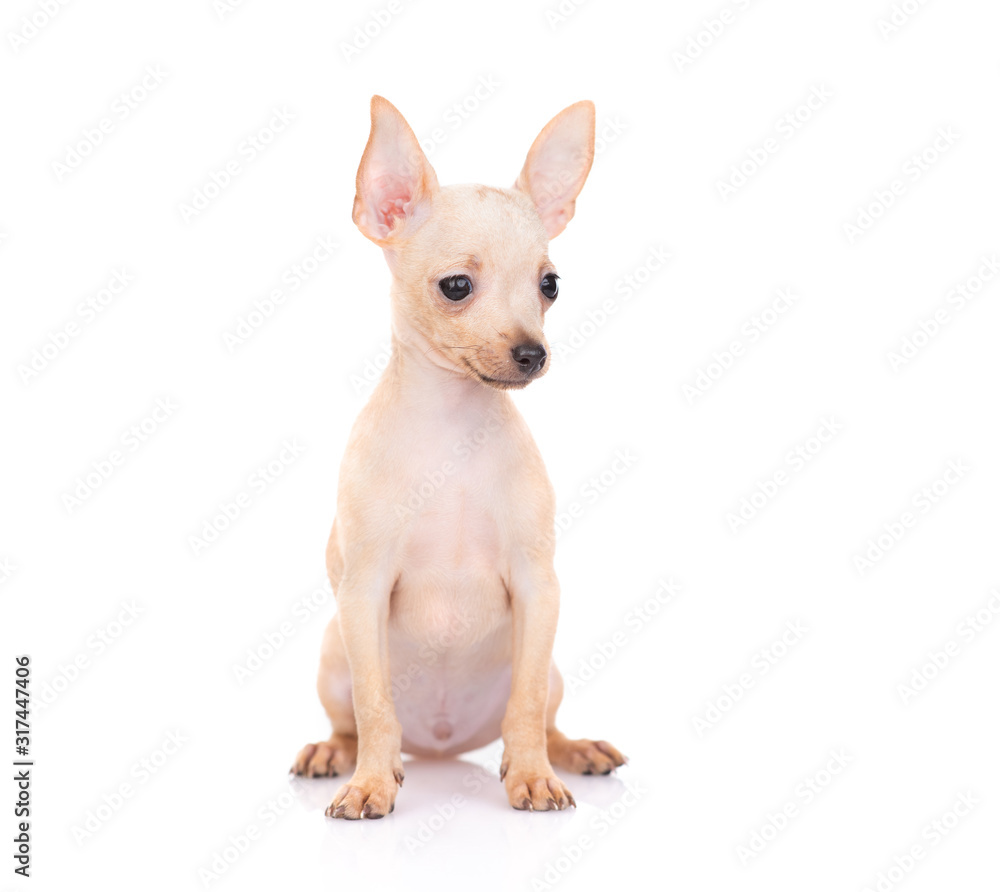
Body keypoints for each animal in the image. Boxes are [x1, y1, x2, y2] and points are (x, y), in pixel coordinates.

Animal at [290, 96, 628, 816]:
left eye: (550, 285)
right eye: (455, 286)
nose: (533, 353)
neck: (454, 433)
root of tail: (441, 749)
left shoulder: (537, 588)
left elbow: (524, 707)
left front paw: (531, 775)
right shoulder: (363, 591)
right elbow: (376, 705)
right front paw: (369, 784)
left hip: (550, 666)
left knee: (540, 715)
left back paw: (569, 750)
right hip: (333, 652)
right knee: (355, 720)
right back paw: (340, 754)